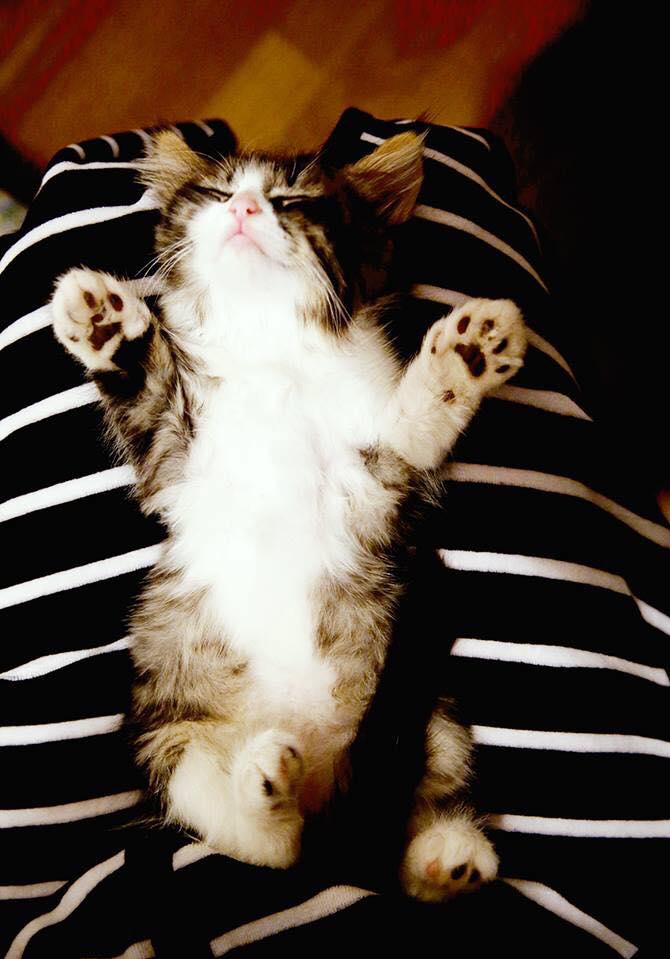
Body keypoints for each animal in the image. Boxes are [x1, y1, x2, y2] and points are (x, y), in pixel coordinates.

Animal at [51, 128, 526, 902]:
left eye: (295, 199)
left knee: (370, 834)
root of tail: (323, 781)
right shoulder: (172, 459)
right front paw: (104, 322)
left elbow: (416, 427)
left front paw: (465, 353)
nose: (244, 208)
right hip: (166, 733)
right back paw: (264, 790)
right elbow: (145, 393)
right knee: (264, 844)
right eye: (218, 191)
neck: (270, 350)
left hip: (436, 716)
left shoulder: (384, 472)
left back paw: (444, 859)